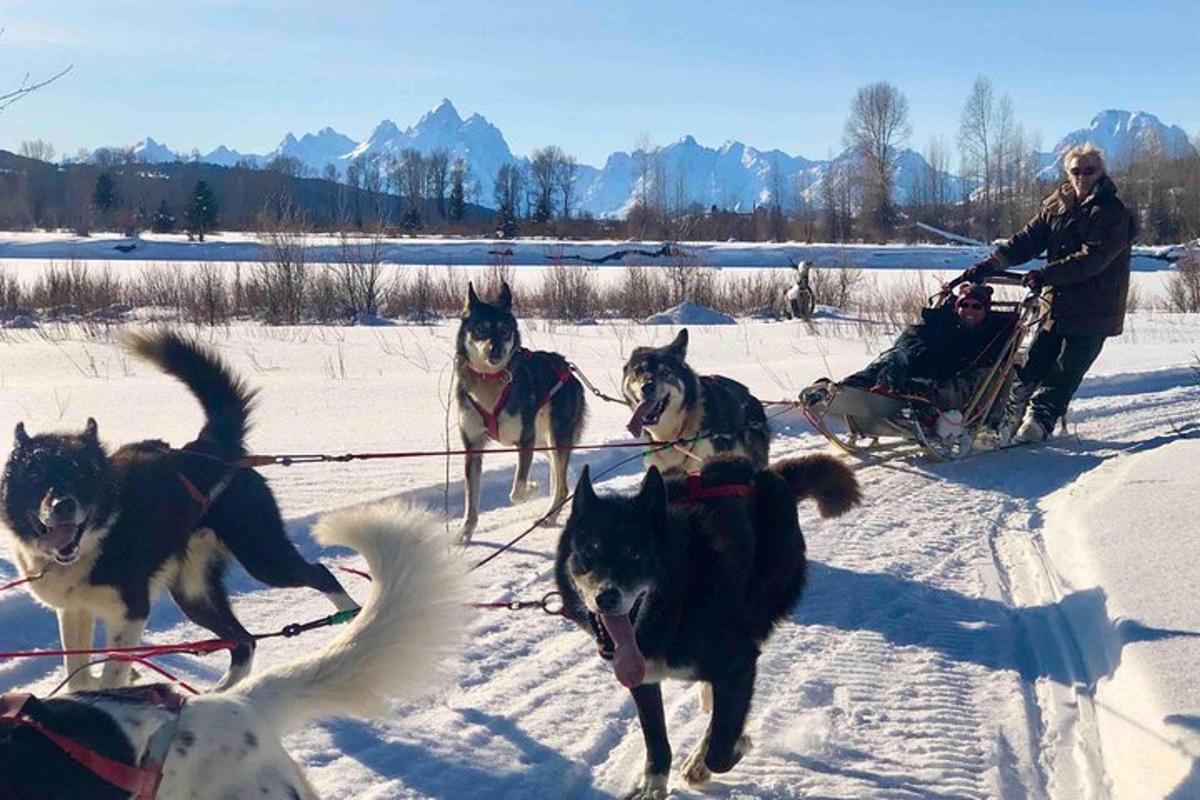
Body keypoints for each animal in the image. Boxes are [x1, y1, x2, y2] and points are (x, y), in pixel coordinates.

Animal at [0, 331, 357, 695]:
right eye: (35, 476)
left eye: (84, 475)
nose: (63, 505)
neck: (96, 542)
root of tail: (209, 450)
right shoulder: (74, 611)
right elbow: (80, 672)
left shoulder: (130, 613)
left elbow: (112, 671)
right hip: (193, 592)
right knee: (244, 641)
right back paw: (219, 694)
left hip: (263, 557)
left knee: (320, 574)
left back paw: (352, 621)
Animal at [453, 283, 585, 544]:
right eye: (481, 328)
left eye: (505, 330)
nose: (495, 351)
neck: (490, 381)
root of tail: (567, 369)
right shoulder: (473, 448)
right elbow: (471, 499)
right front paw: (466, 532)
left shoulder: (525, 441)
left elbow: (517, 490)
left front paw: (532, 488)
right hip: (544, 442)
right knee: (559, 477)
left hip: (553, 438)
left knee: (562, 485)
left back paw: (549, 516)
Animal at [556, 453, 859, 796]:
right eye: (588, 552)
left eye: (635, 553)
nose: (606, 596)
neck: (675, 604)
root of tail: (765, 474)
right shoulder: (642, 676)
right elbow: (656, 739)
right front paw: (654, 785)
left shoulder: (740, 664)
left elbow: (720, 746)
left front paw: (723, 750)